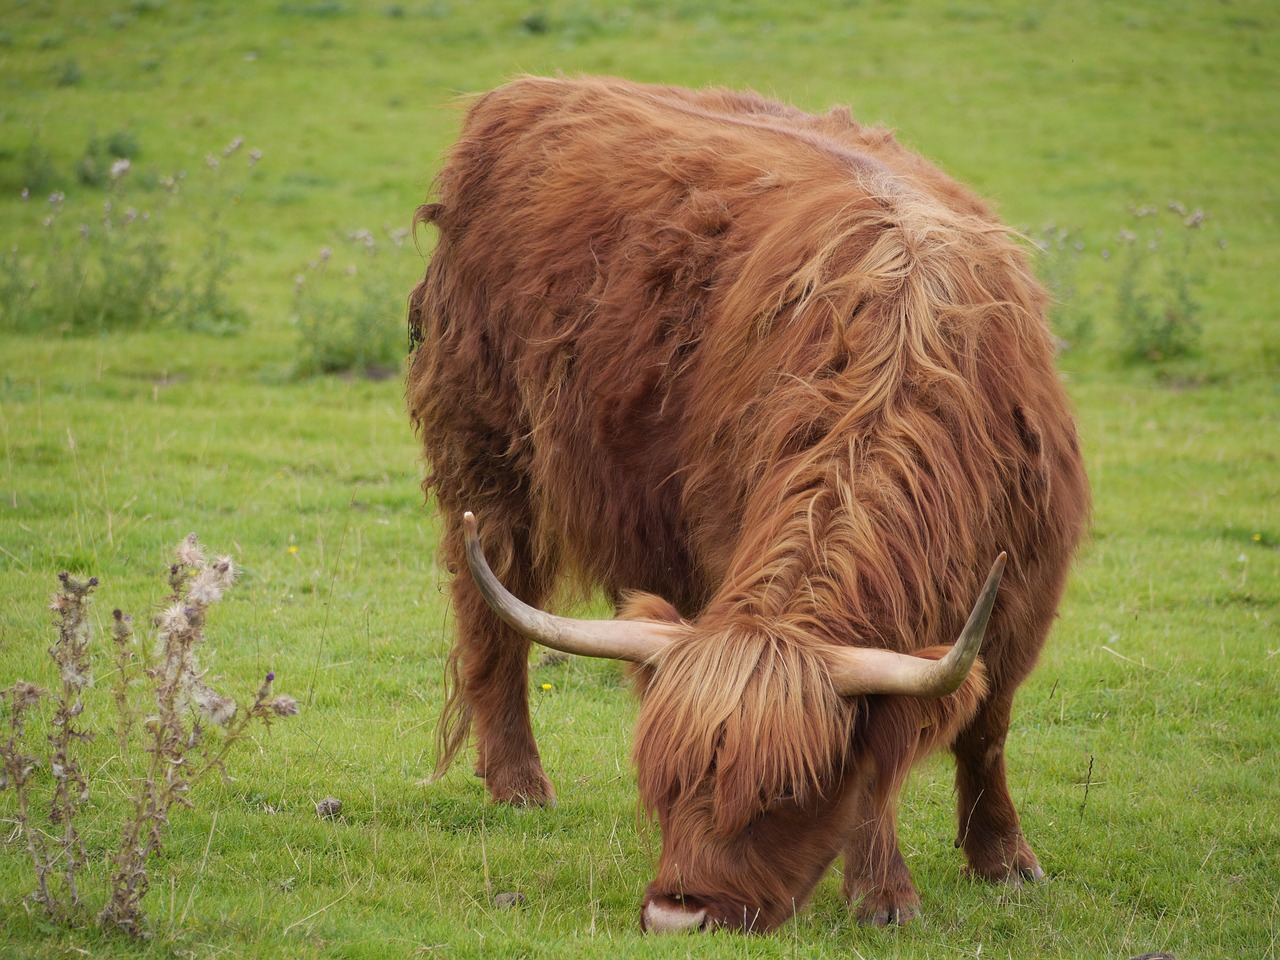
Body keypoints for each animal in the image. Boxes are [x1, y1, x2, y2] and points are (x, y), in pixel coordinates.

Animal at [404, 75, 1085, 931]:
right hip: (489, 458)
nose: (678, 915)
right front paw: (886, 892)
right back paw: (520, 786)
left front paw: (1000, 862)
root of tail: (530, 90)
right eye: (662, 780)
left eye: (784, 791)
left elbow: (984, 727)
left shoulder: (1025, 587)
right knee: (492, 614)